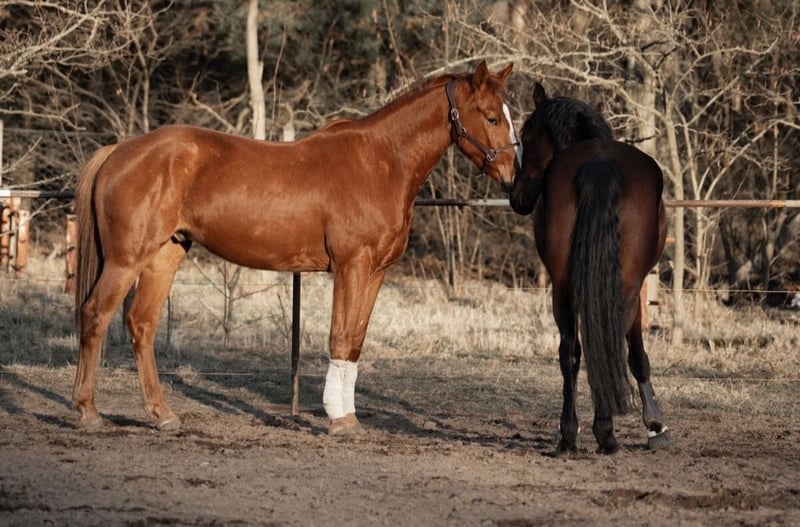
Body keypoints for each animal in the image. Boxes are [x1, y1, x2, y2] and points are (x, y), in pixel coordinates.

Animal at [72, 61, 520, 435]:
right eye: (492, 116)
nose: (513, 176)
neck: (382, 161)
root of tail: (119, 151)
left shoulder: (376, 272)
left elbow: (356, 341)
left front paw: (349, 414)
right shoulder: (351, 265)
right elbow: (340, 337)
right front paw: (339, 420)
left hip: (164, 256)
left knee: (141, 324)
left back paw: (162, 415)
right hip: (126, 259)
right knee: (95, 316)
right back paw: (88, 412)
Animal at [509, 82, 671, 455]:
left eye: (526, 133)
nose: (517, 196)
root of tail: (598, 164)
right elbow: (637, 353)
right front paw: (655, 423)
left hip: (562, 288)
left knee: (570, 351)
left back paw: (569, 433)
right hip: (624, 287)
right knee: (611, 345)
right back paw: (605, 429)